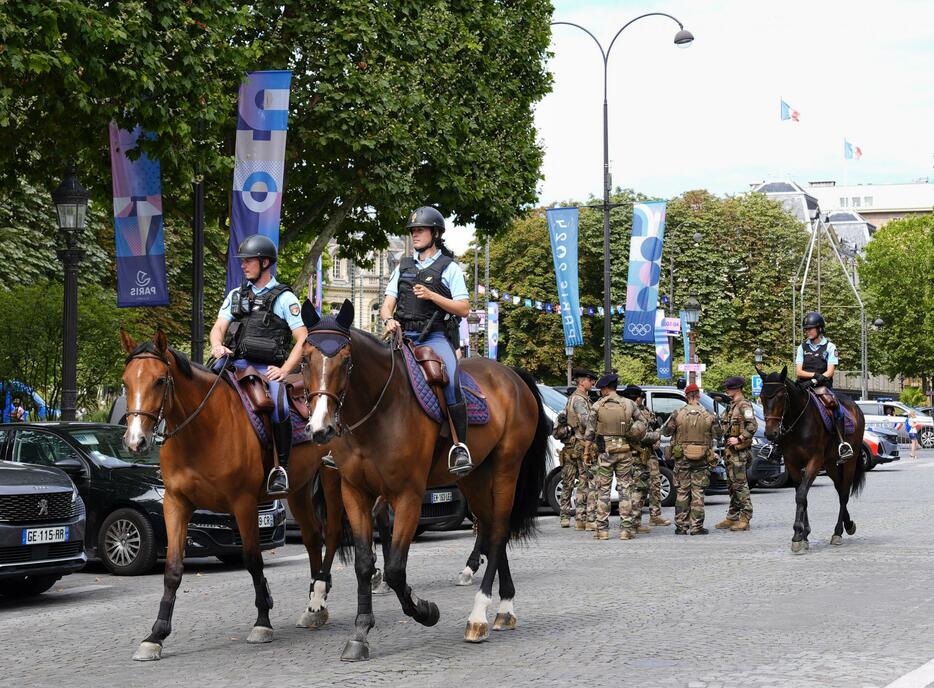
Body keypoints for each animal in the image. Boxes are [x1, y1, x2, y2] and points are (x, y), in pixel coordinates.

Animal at [119, 330, 350, 664]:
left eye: (160, 381)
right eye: (125, 382)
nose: (135, 441)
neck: (202, 431)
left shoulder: (243, 504)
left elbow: (253, 560)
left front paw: (262, 621)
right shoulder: (176, 504)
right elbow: (172, 569)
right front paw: (156, 636)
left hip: (333, 479)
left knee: (330, 534)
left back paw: (319, 595)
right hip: (298, 489)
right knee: (311, 536)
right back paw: (313, 607)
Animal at [300, 300, 548, 660]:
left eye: (346, 361)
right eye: (305, 359)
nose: (320, 428)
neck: (377, 412)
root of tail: (511, 374)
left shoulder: (408, 496)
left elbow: (395, 568)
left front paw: (425, 610)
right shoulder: (354, 493)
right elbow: (364, 563)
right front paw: (360, 633)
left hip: (506, 469)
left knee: (499, 531)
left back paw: (479, 616)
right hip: (473, 478)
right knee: (489, 529)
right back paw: (504, 608)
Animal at [756, 366, 868, 552]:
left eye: (781, 397)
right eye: (762, 397)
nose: (771, 434)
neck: (799, 422)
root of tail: (856, 408)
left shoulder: (814, 462)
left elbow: (801, 495)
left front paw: (797, 535)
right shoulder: (792, 463)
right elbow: (802, 495)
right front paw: (804, 534)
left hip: (849, 463)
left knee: (844, 494)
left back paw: (838, 532)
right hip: (830, 464)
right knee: (839, 490)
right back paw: (848, 524)